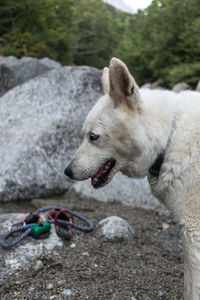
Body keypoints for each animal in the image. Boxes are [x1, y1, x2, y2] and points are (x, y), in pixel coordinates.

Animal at [65, 57, 200, 298]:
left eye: (93, 137)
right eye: (84, 135)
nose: (67, 171)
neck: (169, 138)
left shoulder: (193, 233)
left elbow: (191, 289)